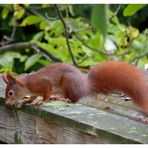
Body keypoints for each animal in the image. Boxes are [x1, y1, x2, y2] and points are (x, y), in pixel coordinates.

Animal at [1, 61, 148, 112]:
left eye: (10, 93)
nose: (6, 103)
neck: (27, 85)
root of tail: (85, 87)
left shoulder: (44, 84)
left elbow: (46, 94)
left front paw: (41, 101)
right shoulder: (33, 92)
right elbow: (31, 97)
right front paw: (25, 101)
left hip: (68, 82)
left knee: (73, 99)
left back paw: (63, 99)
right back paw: (57, 97)